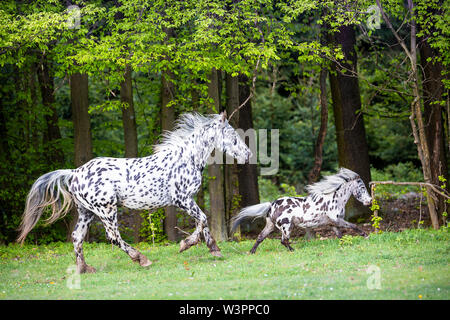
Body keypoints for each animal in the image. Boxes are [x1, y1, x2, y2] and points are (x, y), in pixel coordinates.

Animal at [17, 112, 251, 272]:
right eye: (233, 135)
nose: (248, 154)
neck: (186, 159)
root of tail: (75, 172)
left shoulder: (188, 200)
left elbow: (203, 222)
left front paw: (214, 250)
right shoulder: (182, 199)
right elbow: (203, 219)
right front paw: (186, 245)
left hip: (87, 212)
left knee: (77, 237)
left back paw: (84, 269)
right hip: (107, 211)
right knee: (113, 237)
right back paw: (141, 259)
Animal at [230, 169, 370, 254]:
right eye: (362, 187)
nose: (369, 201)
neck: (335, 199)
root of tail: (271, 205)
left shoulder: (333, 224)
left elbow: (340, 236)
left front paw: (345, 244)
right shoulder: (338, 220)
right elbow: (353, 226)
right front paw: (365, 235)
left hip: (271, 226)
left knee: (260, 237)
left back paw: (252, 252)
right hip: (287, 227)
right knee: (283, 241)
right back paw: (293, 250)